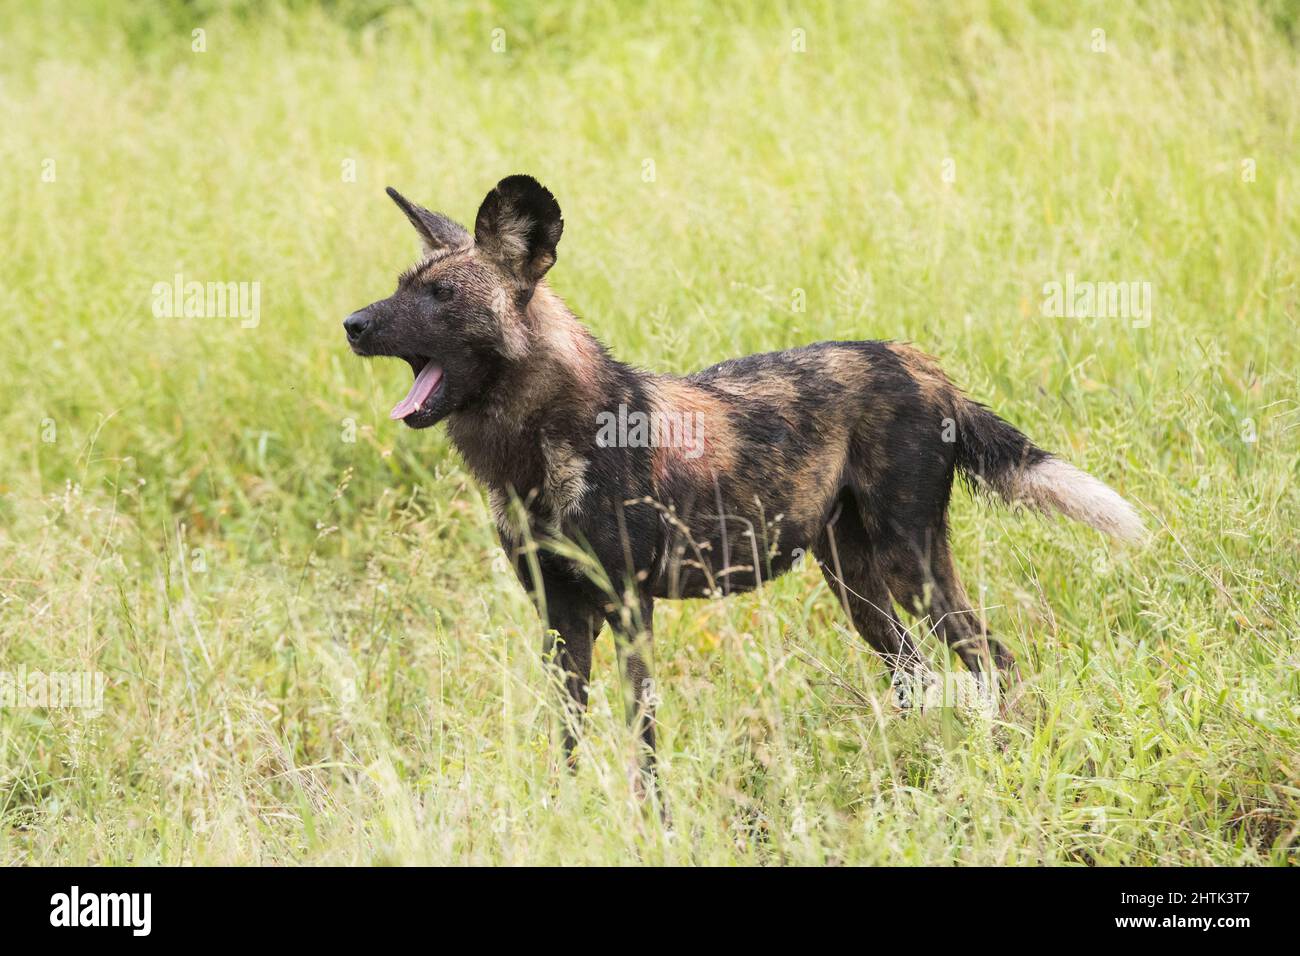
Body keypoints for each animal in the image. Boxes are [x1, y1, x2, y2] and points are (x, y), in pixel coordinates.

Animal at [345, 175, 1149, 790]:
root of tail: (920, 364)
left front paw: (651, 821)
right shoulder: (561, 617)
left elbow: (641, 737)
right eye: (401, 288)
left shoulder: (629, 608)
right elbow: (569, 738)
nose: (351, 323)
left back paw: (1007, 754)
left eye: (443, 296)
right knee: (919, 676)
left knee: (992, 658)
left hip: (911, 565)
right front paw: (564, 814)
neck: (535, 446)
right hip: (857, 585)